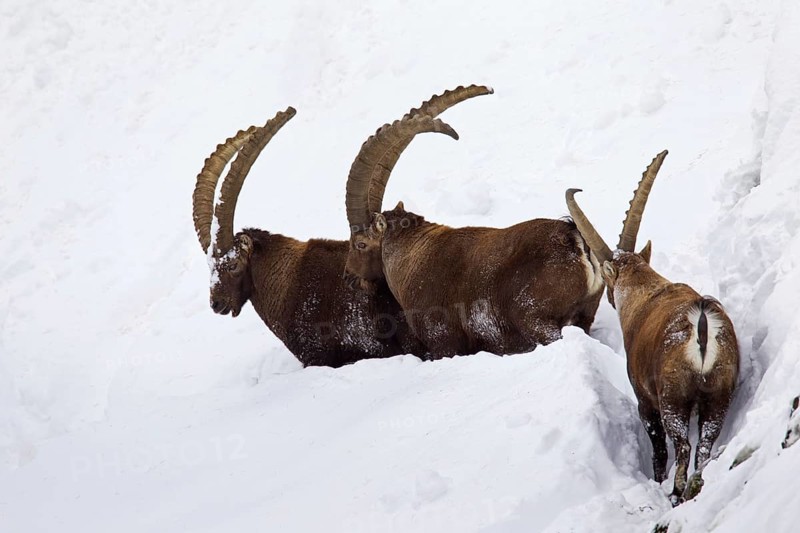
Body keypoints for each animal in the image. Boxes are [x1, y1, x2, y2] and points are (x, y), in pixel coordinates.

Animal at [344, 95, 605, 358]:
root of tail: (573, 240)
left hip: (536, 318)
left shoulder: (442, 339)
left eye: (360, 243)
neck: (409, 258)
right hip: (584, 317)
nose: (349, 276)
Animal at [565, 151, 740, 504]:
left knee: (682, 445)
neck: (647, 291)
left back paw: (674, 493)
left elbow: (658, 448)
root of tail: (702, 329)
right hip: (719, 393)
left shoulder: (645, 400)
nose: (609, 297)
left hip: (673, 397)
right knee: (704, 445)